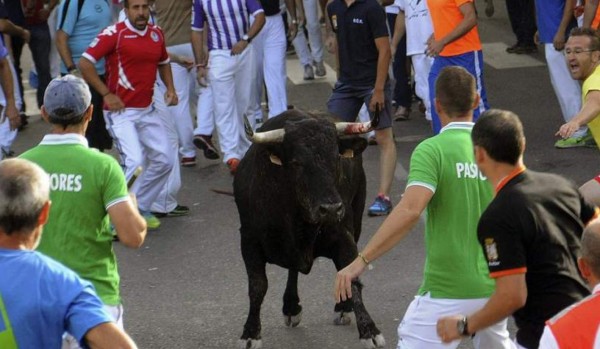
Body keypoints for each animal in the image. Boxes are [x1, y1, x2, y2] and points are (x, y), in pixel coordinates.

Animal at [233, 111, 384, 348]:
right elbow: (257, 287)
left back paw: (339, 307)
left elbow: (351, 277)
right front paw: (250, 333)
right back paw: (291, 306)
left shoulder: (344, 236)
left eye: (336, 158)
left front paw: (369, 329)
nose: (331, 209)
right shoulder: (249, 240)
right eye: (296, 162)